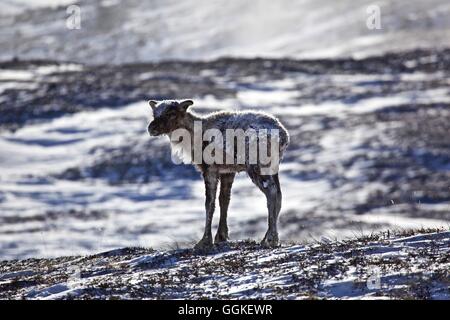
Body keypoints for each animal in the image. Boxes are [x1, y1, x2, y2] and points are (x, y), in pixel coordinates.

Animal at [146, 100, 290, 250]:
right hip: (273, 167)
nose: (151, 128)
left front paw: (205, 240)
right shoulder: (228, 171)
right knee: (278, 194)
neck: (192, 135)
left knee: (271, 193)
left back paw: (271, 239)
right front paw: (221, 236)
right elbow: (224, 200)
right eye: (154, 113)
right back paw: (268, 237)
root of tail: (283, 136)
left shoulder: (209, 169)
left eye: (171, 113)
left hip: (257, 166)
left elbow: (209, 203)